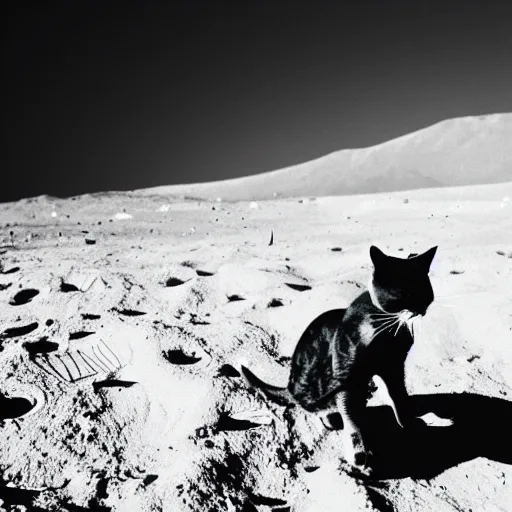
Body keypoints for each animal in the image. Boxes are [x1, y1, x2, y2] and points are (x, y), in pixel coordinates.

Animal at [242, 246, 446, 474]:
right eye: (403, 294)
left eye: (425, 291)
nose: (420, 310)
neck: (387, 329)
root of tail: (289, 386)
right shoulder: (346, 376)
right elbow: (352, 421)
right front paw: (359, 457)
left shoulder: (393, 367)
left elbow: (399, 398)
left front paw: (409, 424)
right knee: (316, 407)